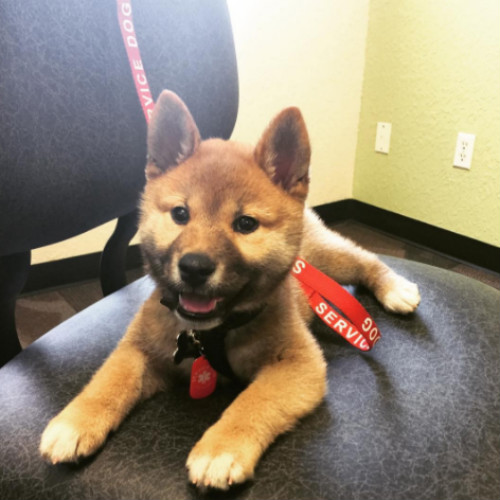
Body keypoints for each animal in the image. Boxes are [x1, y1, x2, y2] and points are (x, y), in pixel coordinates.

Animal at [40, 89, 422, 488]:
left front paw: (221, 448)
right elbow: (109, 380)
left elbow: (252, 402)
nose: (194, 267)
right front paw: (76, 421)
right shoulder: (139, 349)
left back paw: (394, 288)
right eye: (180, 214)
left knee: (365, 259)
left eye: (245, 223)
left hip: (328, 258)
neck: (209, 334)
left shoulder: (298, 364)